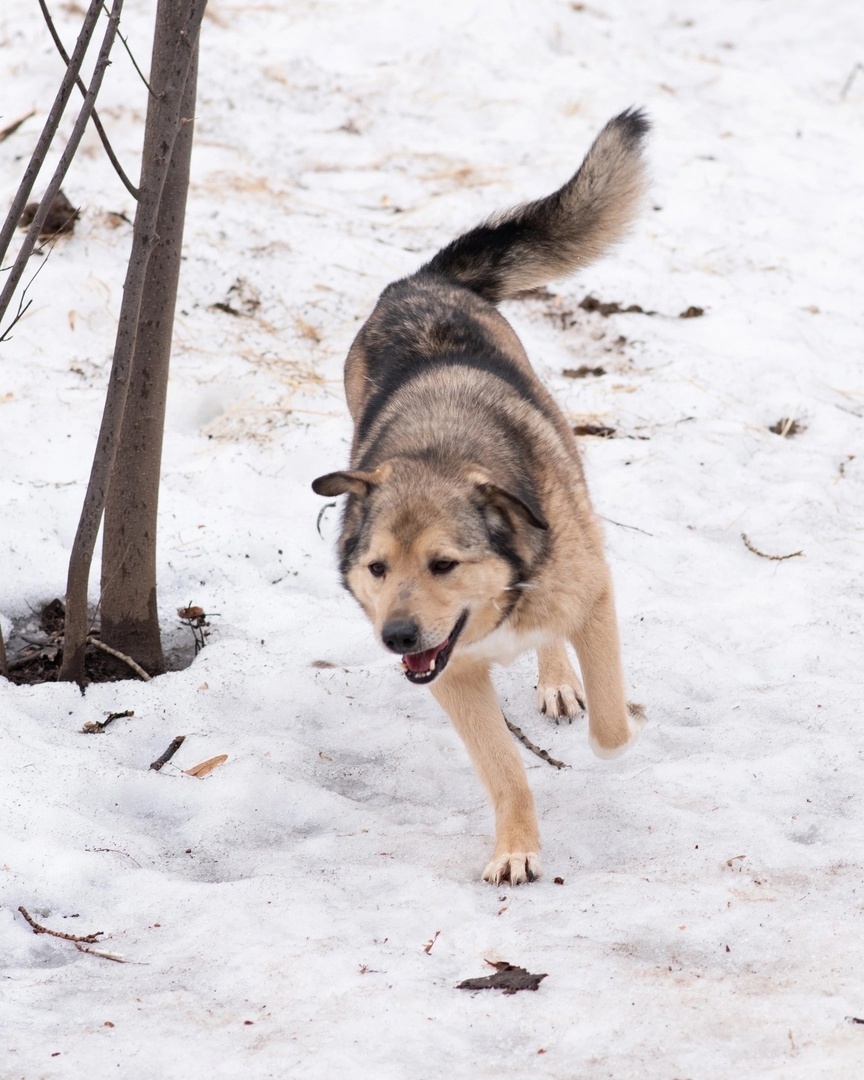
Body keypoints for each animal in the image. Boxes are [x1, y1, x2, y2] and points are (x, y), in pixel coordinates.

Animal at [313, 109, 648, 885]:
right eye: (377, 569)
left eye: (444, 564)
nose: (397, 637)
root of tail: (419, 282)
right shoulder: (451, 674)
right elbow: (502, 769)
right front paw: (517, 849)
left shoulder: (592, 592)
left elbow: (610, 722)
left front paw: (611, 742)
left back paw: (558, 680)